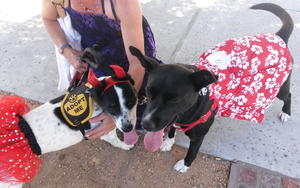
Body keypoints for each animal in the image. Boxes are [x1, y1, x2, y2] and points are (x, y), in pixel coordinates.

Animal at [128, 2, 292, 173]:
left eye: (175, 99)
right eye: (149, 91)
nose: (145, 124)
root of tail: (279, 37)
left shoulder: (198, 136)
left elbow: (192, 152)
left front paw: (185, 165)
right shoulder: (174, 120)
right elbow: (171, 129)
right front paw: (168, 142)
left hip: (280, 88)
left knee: (288, 96)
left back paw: (286, 113)